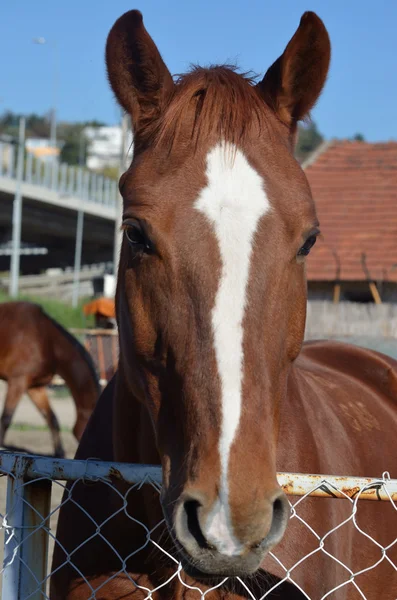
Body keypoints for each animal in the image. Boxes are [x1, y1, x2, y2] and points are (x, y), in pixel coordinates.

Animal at [0, 302, 100, 458]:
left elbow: (52, 419)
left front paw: (59, 453)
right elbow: (6, 418)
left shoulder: (35, 387)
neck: (46, 340)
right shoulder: (17, 381)